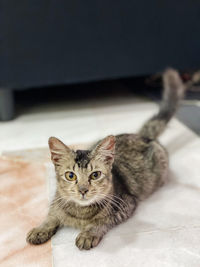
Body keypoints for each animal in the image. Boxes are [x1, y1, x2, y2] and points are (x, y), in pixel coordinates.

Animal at [26, 69, 184, 251]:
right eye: (70, 176)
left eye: (95, 175)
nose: (83, 190)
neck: (80, 213)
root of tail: (142, 135)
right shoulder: (56, 202)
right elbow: (51, 215)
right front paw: (40, 229)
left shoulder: (125, 205)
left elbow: (100, 221)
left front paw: (88, 234)